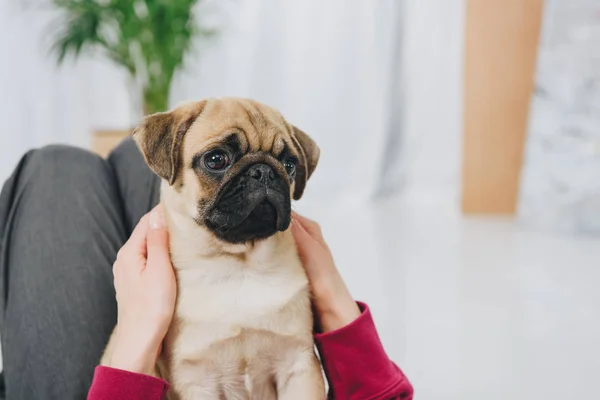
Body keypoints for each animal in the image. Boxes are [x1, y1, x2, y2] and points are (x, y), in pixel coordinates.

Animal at [103, 97, 328, 400]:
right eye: (216, 159)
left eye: (289, 164)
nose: (264, 171)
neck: (237, 264)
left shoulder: (298, 364)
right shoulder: (195, 381)